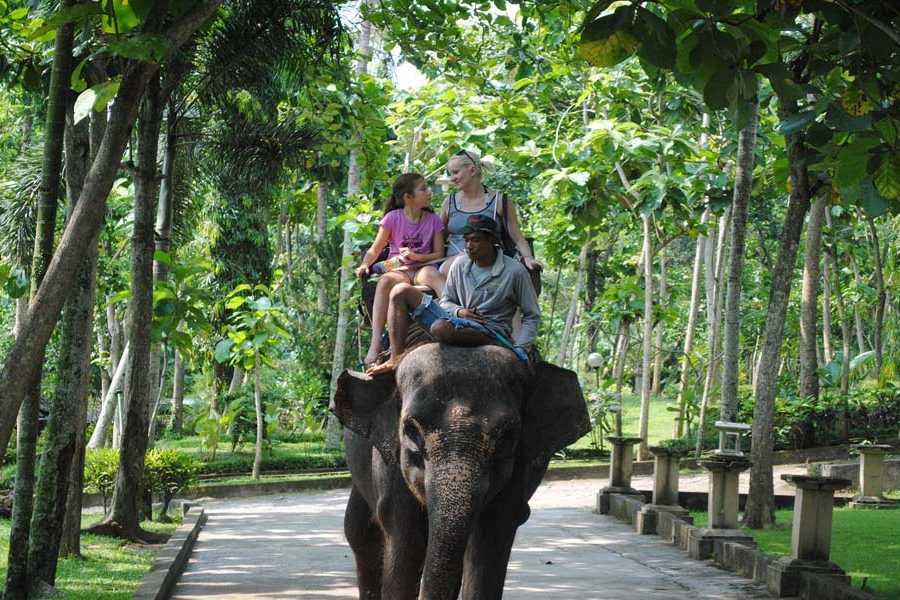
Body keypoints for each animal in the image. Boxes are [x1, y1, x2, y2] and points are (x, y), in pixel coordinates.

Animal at [331, 343, 590, 600]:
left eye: (507, 437)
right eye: (412, 432)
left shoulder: (520, 464)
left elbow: (490, 537)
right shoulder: (390, 464)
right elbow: (406, 539)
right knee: (360, 533)